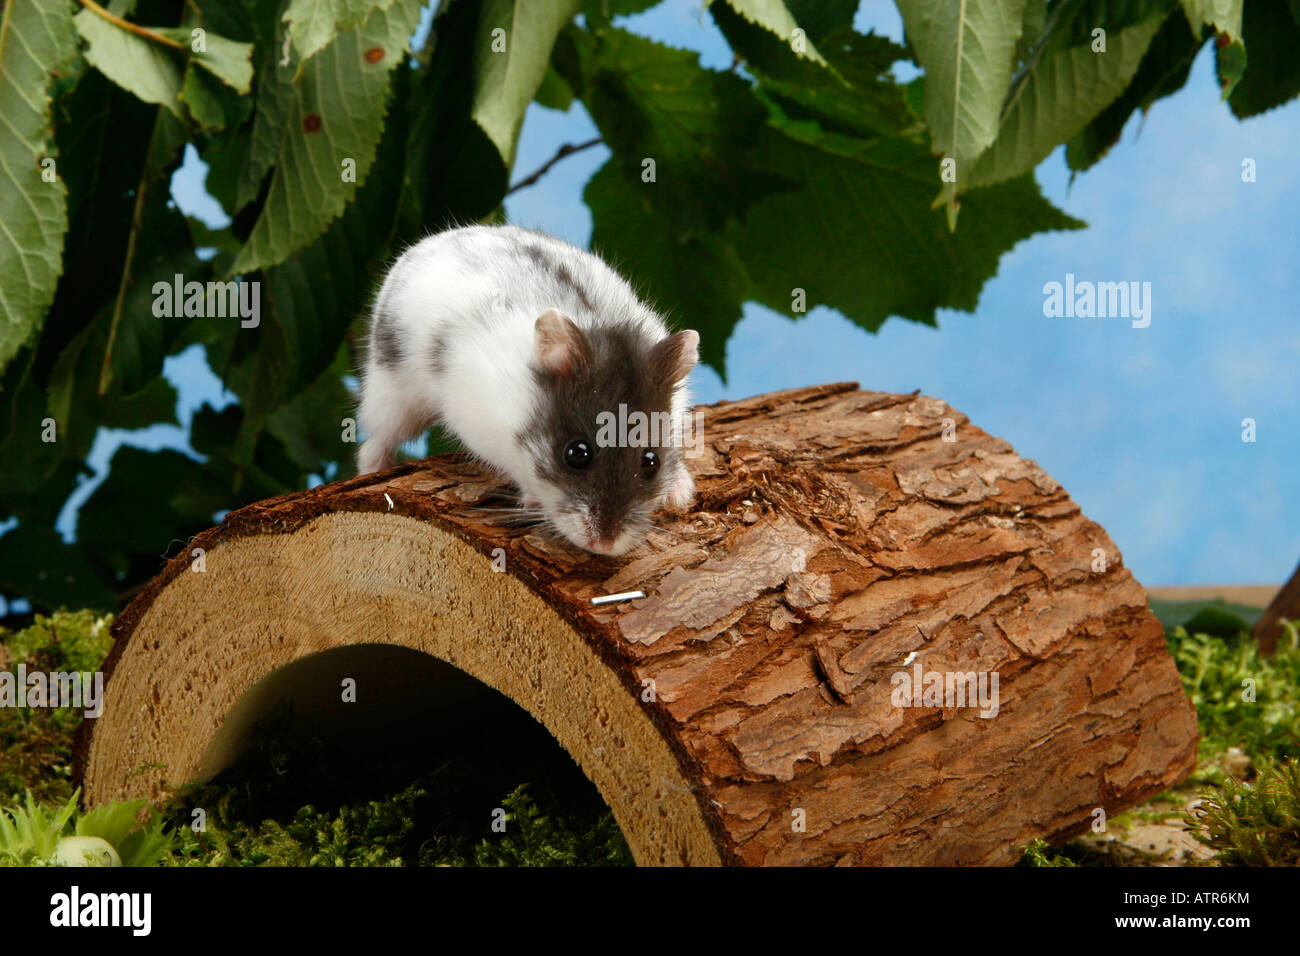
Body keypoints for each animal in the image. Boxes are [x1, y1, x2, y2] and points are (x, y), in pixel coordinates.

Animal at [356, 222, 702, 554]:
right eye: (577, 454)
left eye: (651, 462)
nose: (605, 545)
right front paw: (533, 500)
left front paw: (680, 493)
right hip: (390, 394)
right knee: (373, 443)